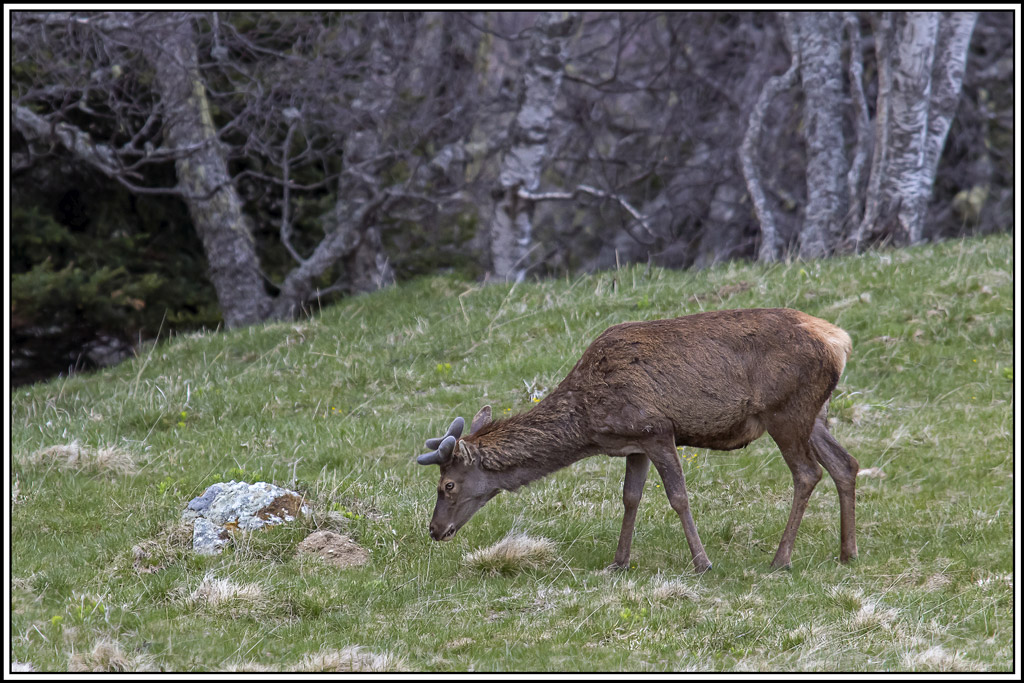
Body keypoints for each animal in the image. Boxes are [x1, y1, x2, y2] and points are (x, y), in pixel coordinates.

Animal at [416, 307, 859, 573]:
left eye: (447, 485)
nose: (434, 530)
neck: (588, 425)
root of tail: (840, 340)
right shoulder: (634, 445)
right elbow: (630, 498)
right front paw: (619, 562)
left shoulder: (656, 429)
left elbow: (678, 496)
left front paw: (702, 563)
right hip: (814, 414)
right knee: (845, 464)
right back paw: (847, 552)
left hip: (786, 410)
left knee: (807, 473)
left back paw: (781, 559)